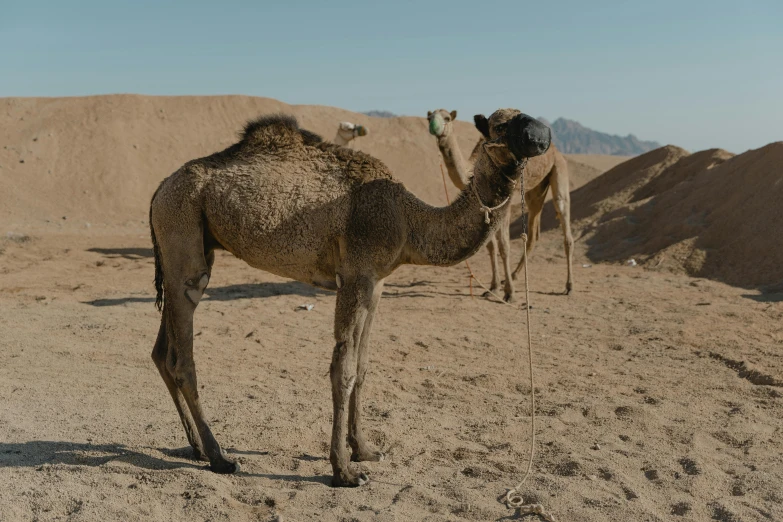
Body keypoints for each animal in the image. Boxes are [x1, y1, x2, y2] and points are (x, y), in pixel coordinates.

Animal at [147, 108, 552, 484]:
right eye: (500, 125)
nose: (542, 135)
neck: (408, 220)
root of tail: (159, 189)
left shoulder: (377, 283)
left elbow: (363, 365)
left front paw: (365, 450)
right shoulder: (356, 275)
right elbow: (342, 370)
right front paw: (343, 471)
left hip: (187, 242)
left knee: (161, 352)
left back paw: (198, 448)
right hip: (182, 226)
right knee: (182, 354)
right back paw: (220, 457)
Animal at [428, 107, 576, 296]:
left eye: (447, 118)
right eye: (429, 117)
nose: (434, 127)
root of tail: (556, 151)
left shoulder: (505, 203)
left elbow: (504, 245)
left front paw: (509, 292)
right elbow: (491, 245)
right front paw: (493, 286)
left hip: (559, 170)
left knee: (564, 222)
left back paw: (569, 286)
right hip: (535, 190)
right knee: (532, 234)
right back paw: (514, 275)